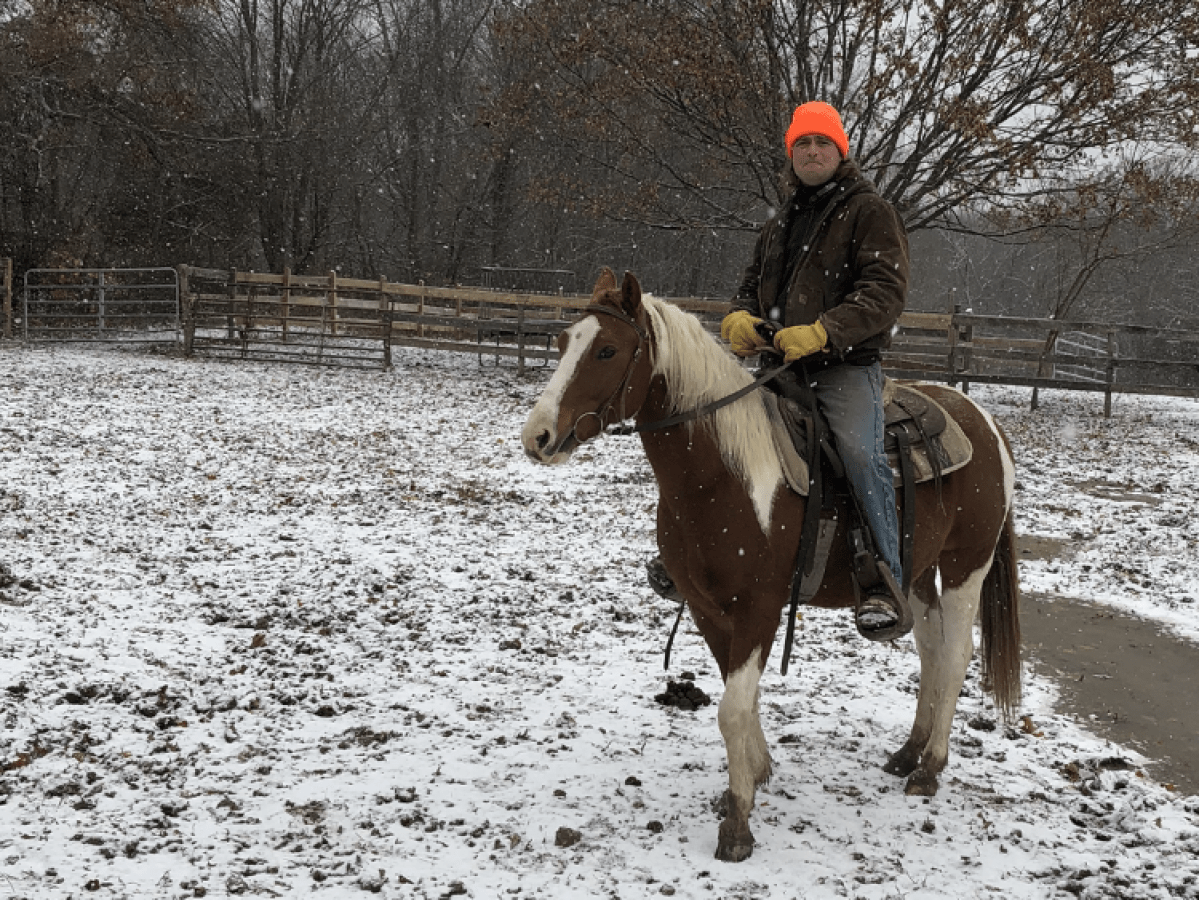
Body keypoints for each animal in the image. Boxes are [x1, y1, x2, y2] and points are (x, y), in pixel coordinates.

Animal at [520, 268, 1021, 863]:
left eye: (607, 350)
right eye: (561, 343)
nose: (538, 436)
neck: (722, 475)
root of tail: (984, 422)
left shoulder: (760, 607)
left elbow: (731, 709)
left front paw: (738, 823)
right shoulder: (709, 610)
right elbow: (737, 697)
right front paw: (756, 774)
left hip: (968, 564)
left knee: (958, 653)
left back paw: (930, 767)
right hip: (917, 573)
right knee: (931, 650)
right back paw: (908, 752)